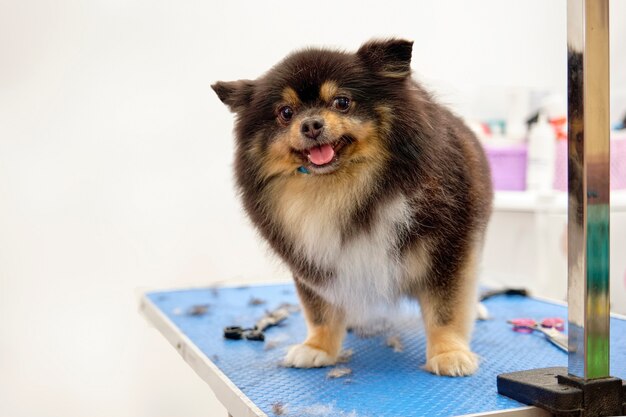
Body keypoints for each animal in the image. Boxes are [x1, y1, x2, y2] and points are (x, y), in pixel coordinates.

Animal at [212, 39, 490, 376]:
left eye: (342, 102)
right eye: (285, 113)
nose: (311, 125)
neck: (342, 191)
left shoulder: (448, 249)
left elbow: (445, 308)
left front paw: (449, 353)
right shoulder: (314, 257)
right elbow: (320, 310)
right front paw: (317, 347)